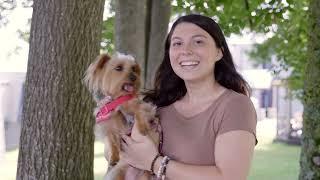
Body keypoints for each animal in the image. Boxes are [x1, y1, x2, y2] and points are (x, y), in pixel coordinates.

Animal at [84, 52, 161, 180]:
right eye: (118, 68)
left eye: (134, 69)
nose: (134, 77)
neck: (119, 99)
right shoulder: (107, 122)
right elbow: (111, 139)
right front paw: (114, 157)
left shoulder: (144, 106)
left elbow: (139, 112)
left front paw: (142, 128)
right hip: (117, 173)